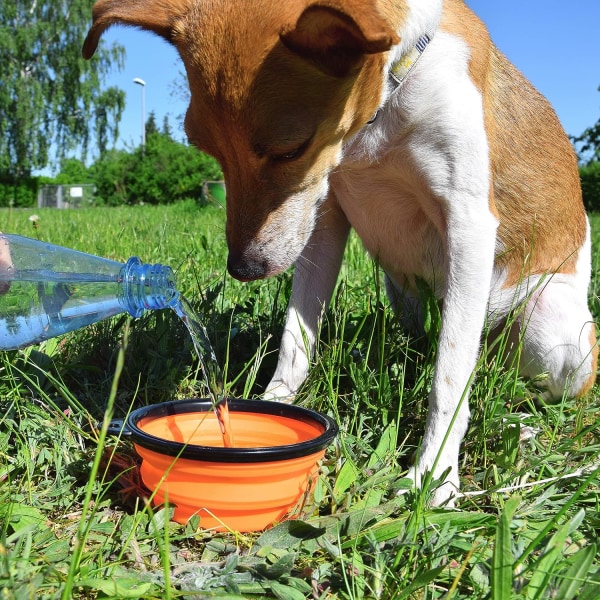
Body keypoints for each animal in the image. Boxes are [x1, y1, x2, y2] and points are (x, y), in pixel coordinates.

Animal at [83, 0, 596, 506]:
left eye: (289, 149)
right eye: (204, 146)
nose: (243, 267)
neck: (380, 116)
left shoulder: (468, 223)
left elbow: (449, 376)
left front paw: (434, 473)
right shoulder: (321, 216)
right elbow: (296, 338)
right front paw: (274, 405)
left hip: (549, 326)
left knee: (521, 383)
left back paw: (517, 423)